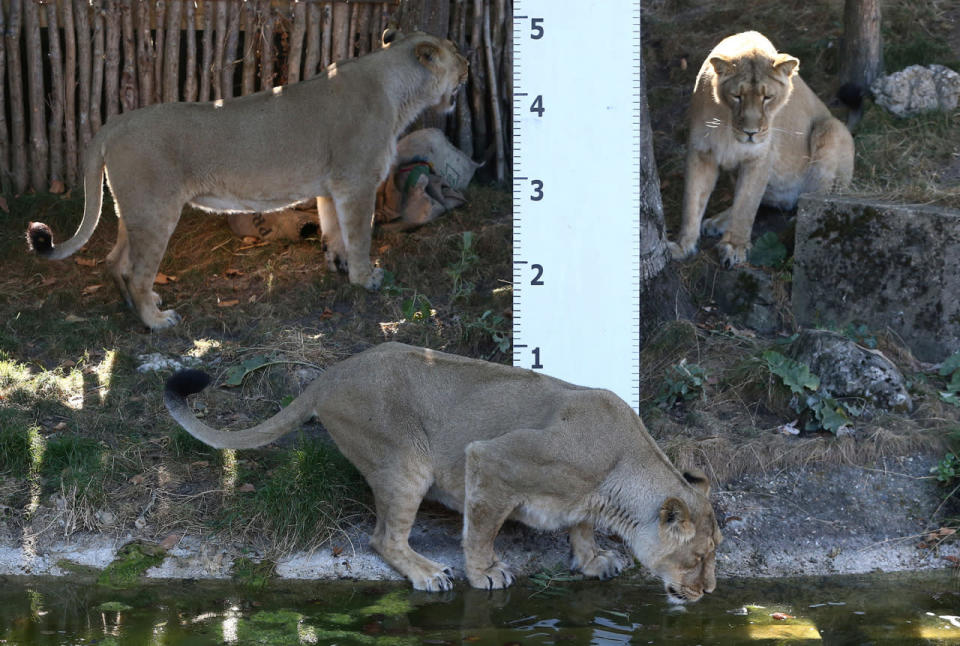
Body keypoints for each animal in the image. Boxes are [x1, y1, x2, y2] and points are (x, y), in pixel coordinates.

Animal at [24, 29, 466, 334]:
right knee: (136, 270)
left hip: (132, 210)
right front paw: (365, 279)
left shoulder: (331, 188)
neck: (397, 89)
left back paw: (136, 306)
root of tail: (113, 123)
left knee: (115, 261)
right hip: (155, 212)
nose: (469, 64)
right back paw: (156, 320)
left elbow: (334, 233)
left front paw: (338, 267)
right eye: (457, 51)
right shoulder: (356, 182)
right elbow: (359, 236)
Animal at [165, 344, 720, 604]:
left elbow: (580, 525)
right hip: (406, 464)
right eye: (696, 559)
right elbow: (481, 531)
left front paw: (592, 560)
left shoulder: (582, 497)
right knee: (383, 538)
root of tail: (329, 376)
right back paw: (430, 573)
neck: (618, 477)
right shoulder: (491, 459)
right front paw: (485, 573)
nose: (710, 592)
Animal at [668, 29, 856, 268]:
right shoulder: (700, 152)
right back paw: (718, 221)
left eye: (768, 97)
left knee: (817, 198)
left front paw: (735, 247)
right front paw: (682, 246)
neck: (728, 126)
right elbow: (692, 201)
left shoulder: (759, 158)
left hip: (831, 128)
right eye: (737, 96)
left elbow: (746, 205)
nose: (751, 133)